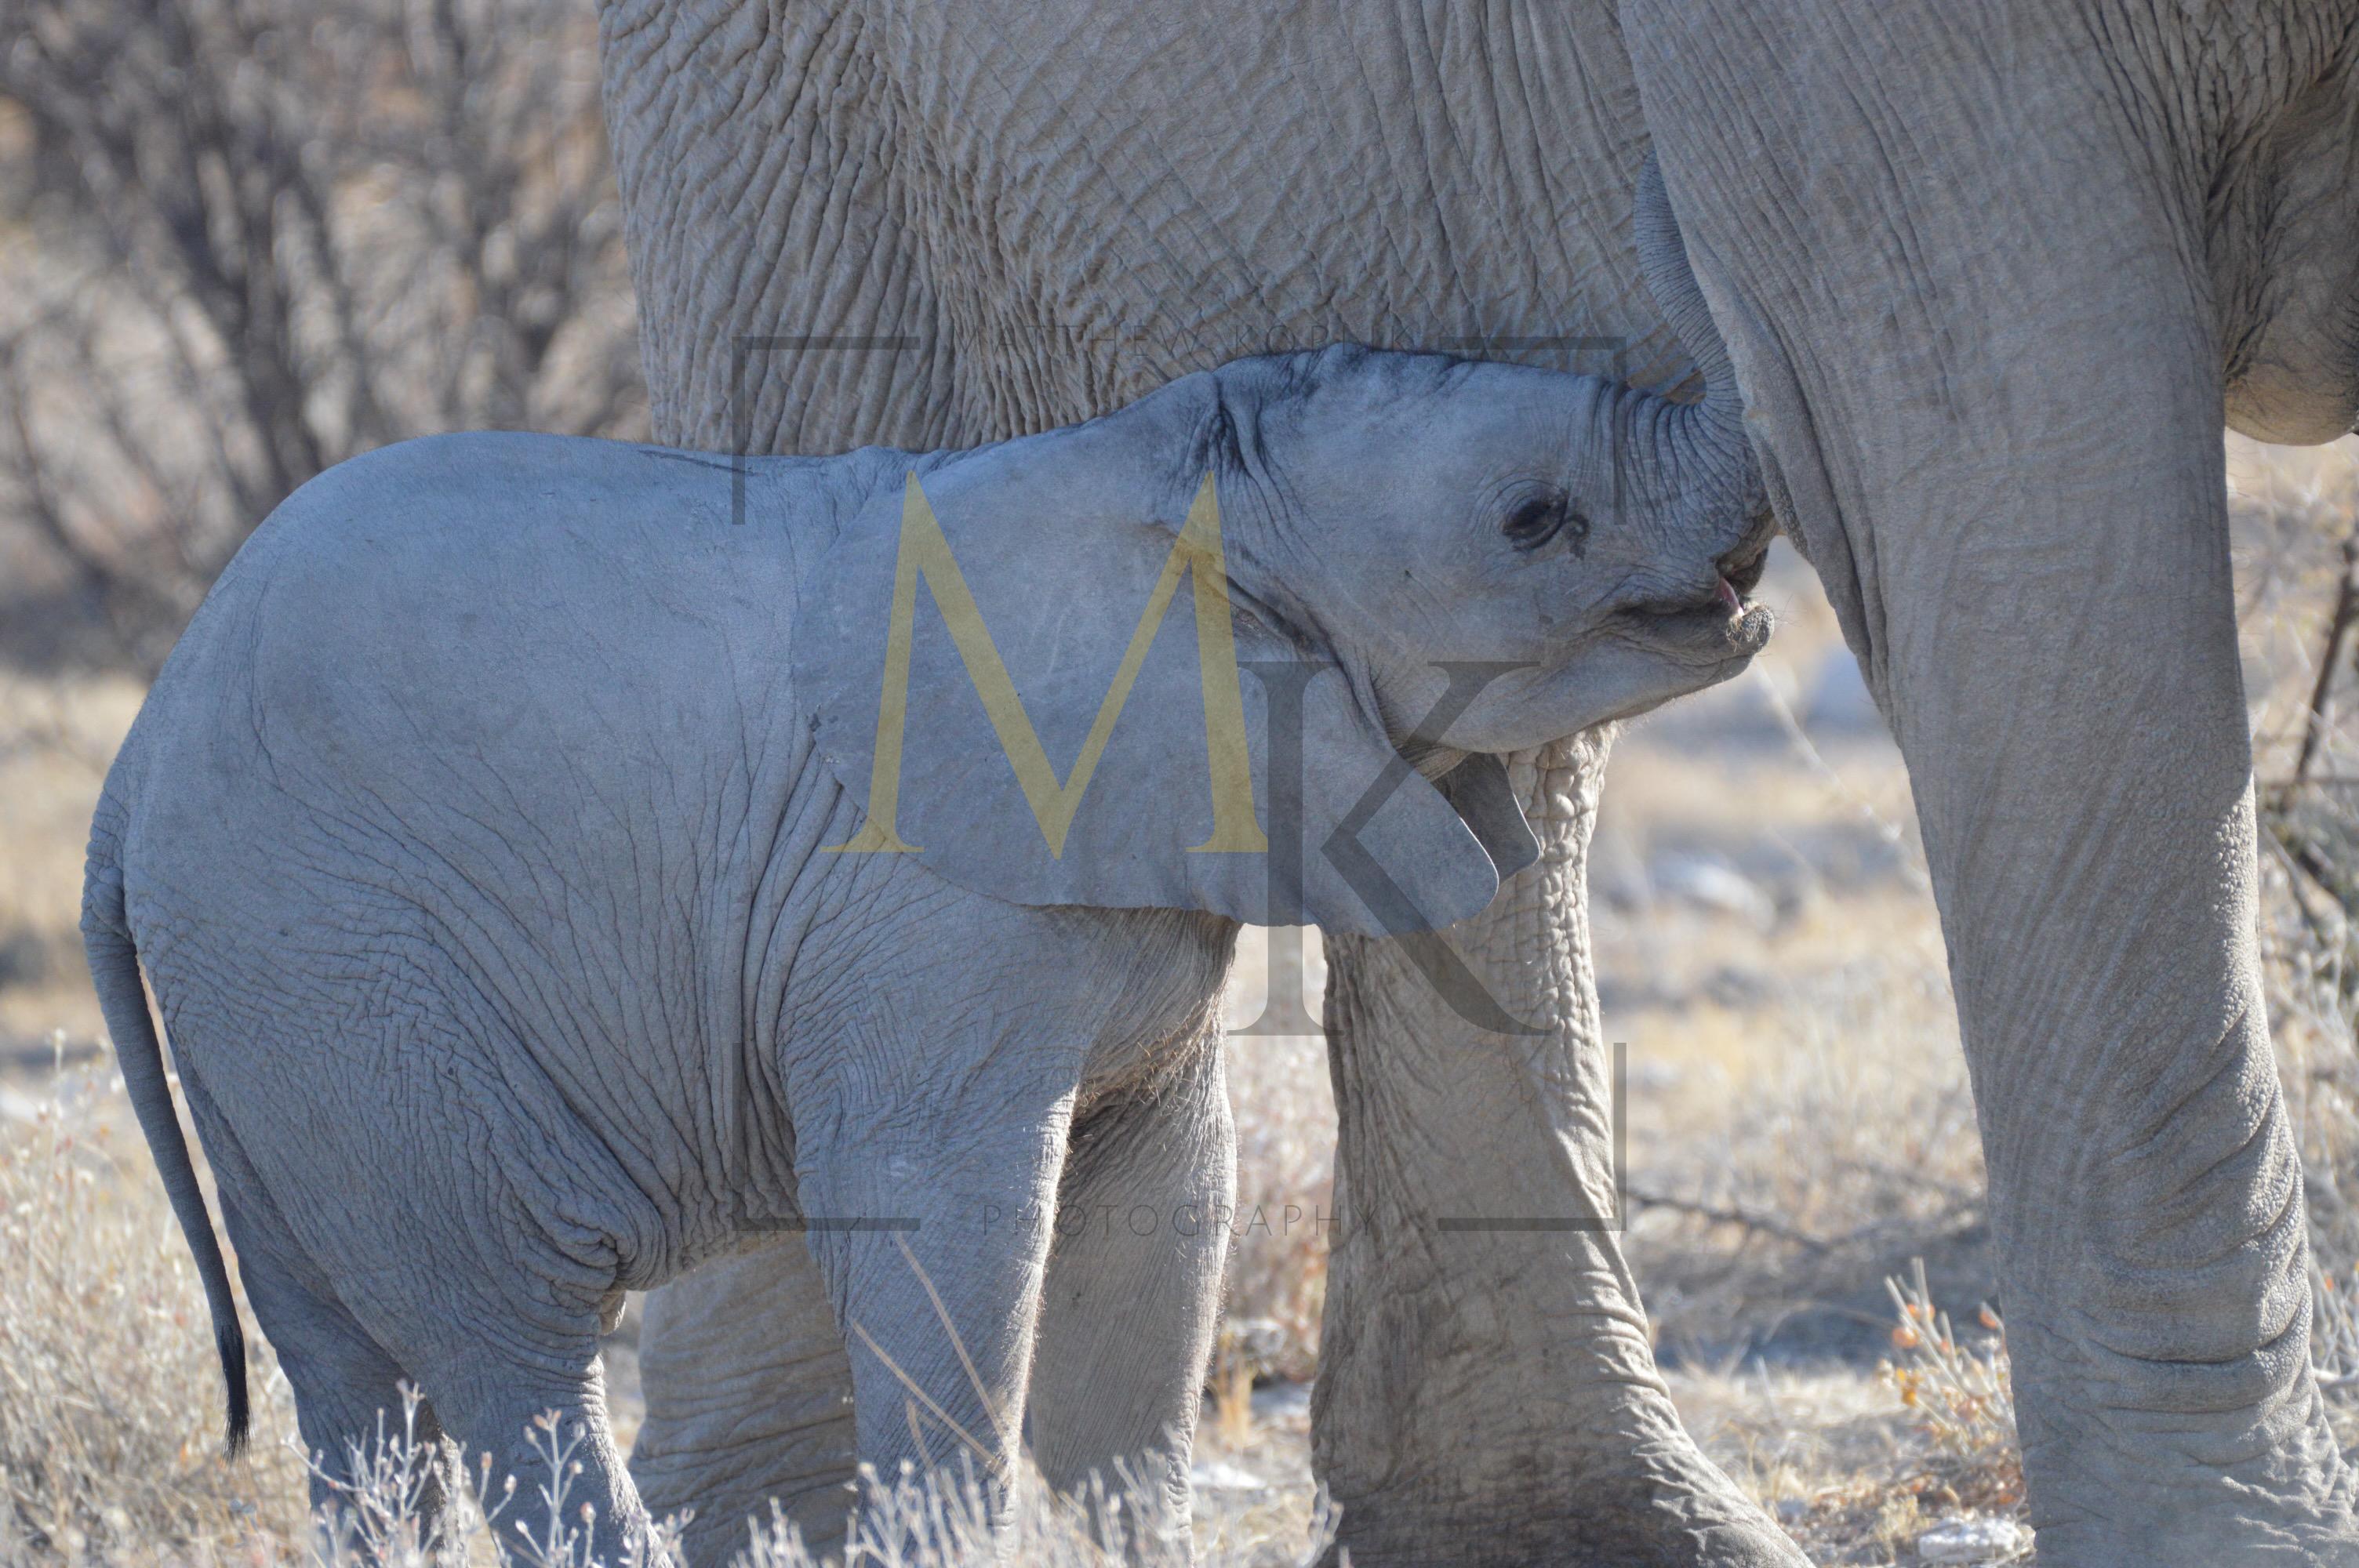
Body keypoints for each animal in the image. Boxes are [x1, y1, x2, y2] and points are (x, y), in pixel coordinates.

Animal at [87, 205, 1772, 1561]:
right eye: (1534, 522)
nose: (1751, 593)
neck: (1149, 463)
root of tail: (139, 751)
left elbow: (1161, 1223)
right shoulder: (914, 921)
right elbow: (941, 1234)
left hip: (259, 1020)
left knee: (349, 1388)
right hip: (342, 974)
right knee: (515, 1354)